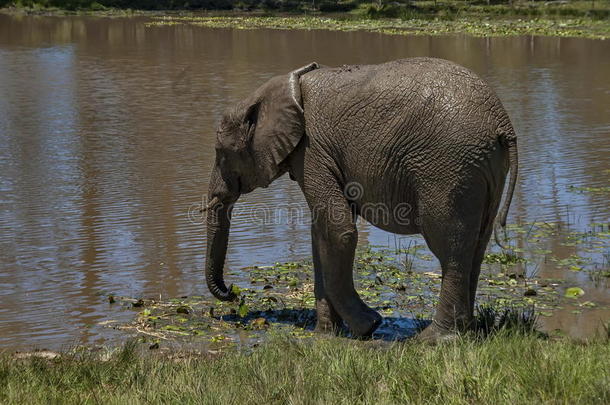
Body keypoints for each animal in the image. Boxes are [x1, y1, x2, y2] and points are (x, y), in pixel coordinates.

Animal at [202, 56, 516, 340]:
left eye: (220, 153)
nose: (233, 293)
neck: (276, 89)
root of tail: (503, 124)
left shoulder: (312, 151)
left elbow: (338, 231)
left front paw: (369, 326)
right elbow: (320, 235)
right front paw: (326, 334)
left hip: (449, 168)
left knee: (450, 247)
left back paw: (433, 339)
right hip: (482, 167)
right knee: (476, 246)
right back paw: (467, 333)